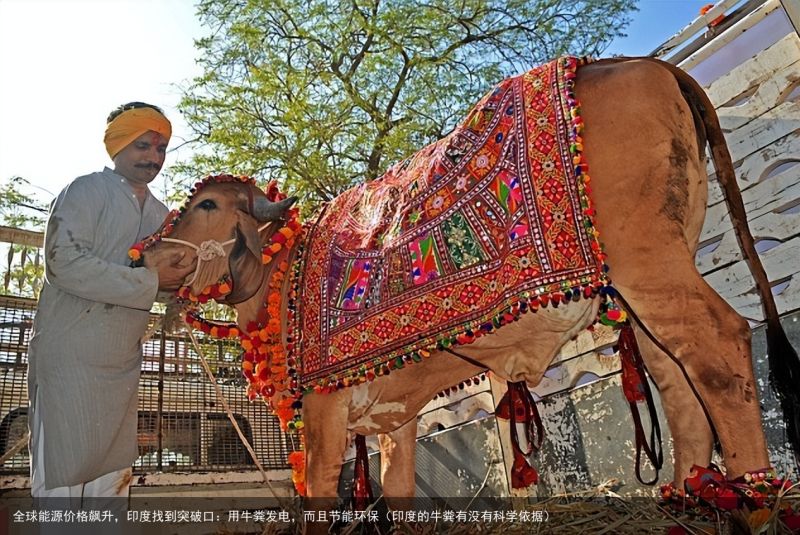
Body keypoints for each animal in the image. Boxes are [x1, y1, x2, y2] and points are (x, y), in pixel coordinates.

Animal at [134, 56, 796, 512]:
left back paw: (752, 493)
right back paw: (687, 494)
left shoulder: (322, 416)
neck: (284, 273)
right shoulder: (393, 419)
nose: (149, 253)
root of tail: (640, 62)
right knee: (676, 378)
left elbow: (318, 495)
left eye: (208, 204)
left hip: (650, 265)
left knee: (721, 345)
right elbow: (397, 492)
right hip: (650, 282)